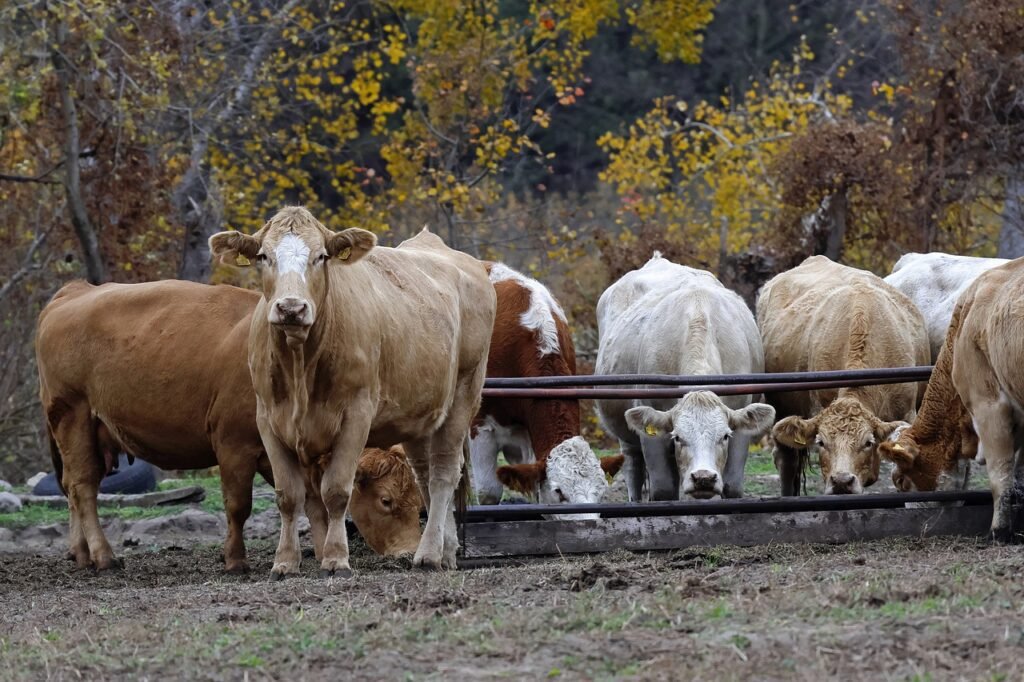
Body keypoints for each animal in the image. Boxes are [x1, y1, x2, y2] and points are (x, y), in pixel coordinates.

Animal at [35, 280, 273, 572]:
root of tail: (76, 289)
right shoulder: (235, 442)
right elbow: (239, 506)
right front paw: (236, 560)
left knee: (71, 487)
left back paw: (81, 554)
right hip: (73, 415)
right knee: (82, 486)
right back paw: (104, 556)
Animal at [209, 207, 495, 577]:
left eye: (321, 256)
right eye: (263, 256)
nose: (291, 308)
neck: (301, 365)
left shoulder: (356, 416)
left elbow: (335, 491)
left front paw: (335, 558)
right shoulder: (268, 418)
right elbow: (289, 495)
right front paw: (285, 561)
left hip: (464, 392)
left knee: (444, 474)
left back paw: (429, 554)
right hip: (420, 414)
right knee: (425, 474)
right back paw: (446, 552)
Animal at [594, 254, 775, 502]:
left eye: (724, 436)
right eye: (678, 437)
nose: (703, 477)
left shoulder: (740, 426)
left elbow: (732, 486)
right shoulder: (653, 430)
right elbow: (663, 490)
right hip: (627, 437)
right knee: (633, 468)